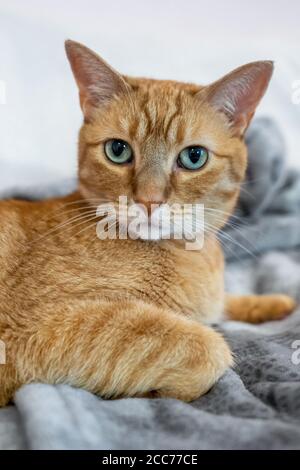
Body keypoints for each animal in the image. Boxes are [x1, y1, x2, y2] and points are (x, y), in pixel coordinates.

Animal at [0, 42, 296, 406]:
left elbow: (224, 303)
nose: (150, 200)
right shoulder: (40, 329)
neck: (190, 256)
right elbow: (208, 347)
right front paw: (154, 390)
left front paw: (270, 303)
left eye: (194, 157)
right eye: (117, 150)